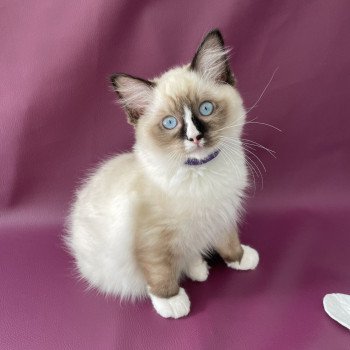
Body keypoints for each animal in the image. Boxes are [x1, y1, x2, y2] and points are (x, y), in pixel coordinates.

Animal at [66, 29, 260, 320]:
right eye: (170, 123)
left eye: (205, 109)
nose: (195, 137)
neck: (201, 173)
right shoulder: (153, 237)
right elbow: (161, 271)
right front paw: (171, 301)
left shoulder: (223, 213)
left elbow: (228, 240)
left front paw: (240, 258)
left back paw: (198, 268)